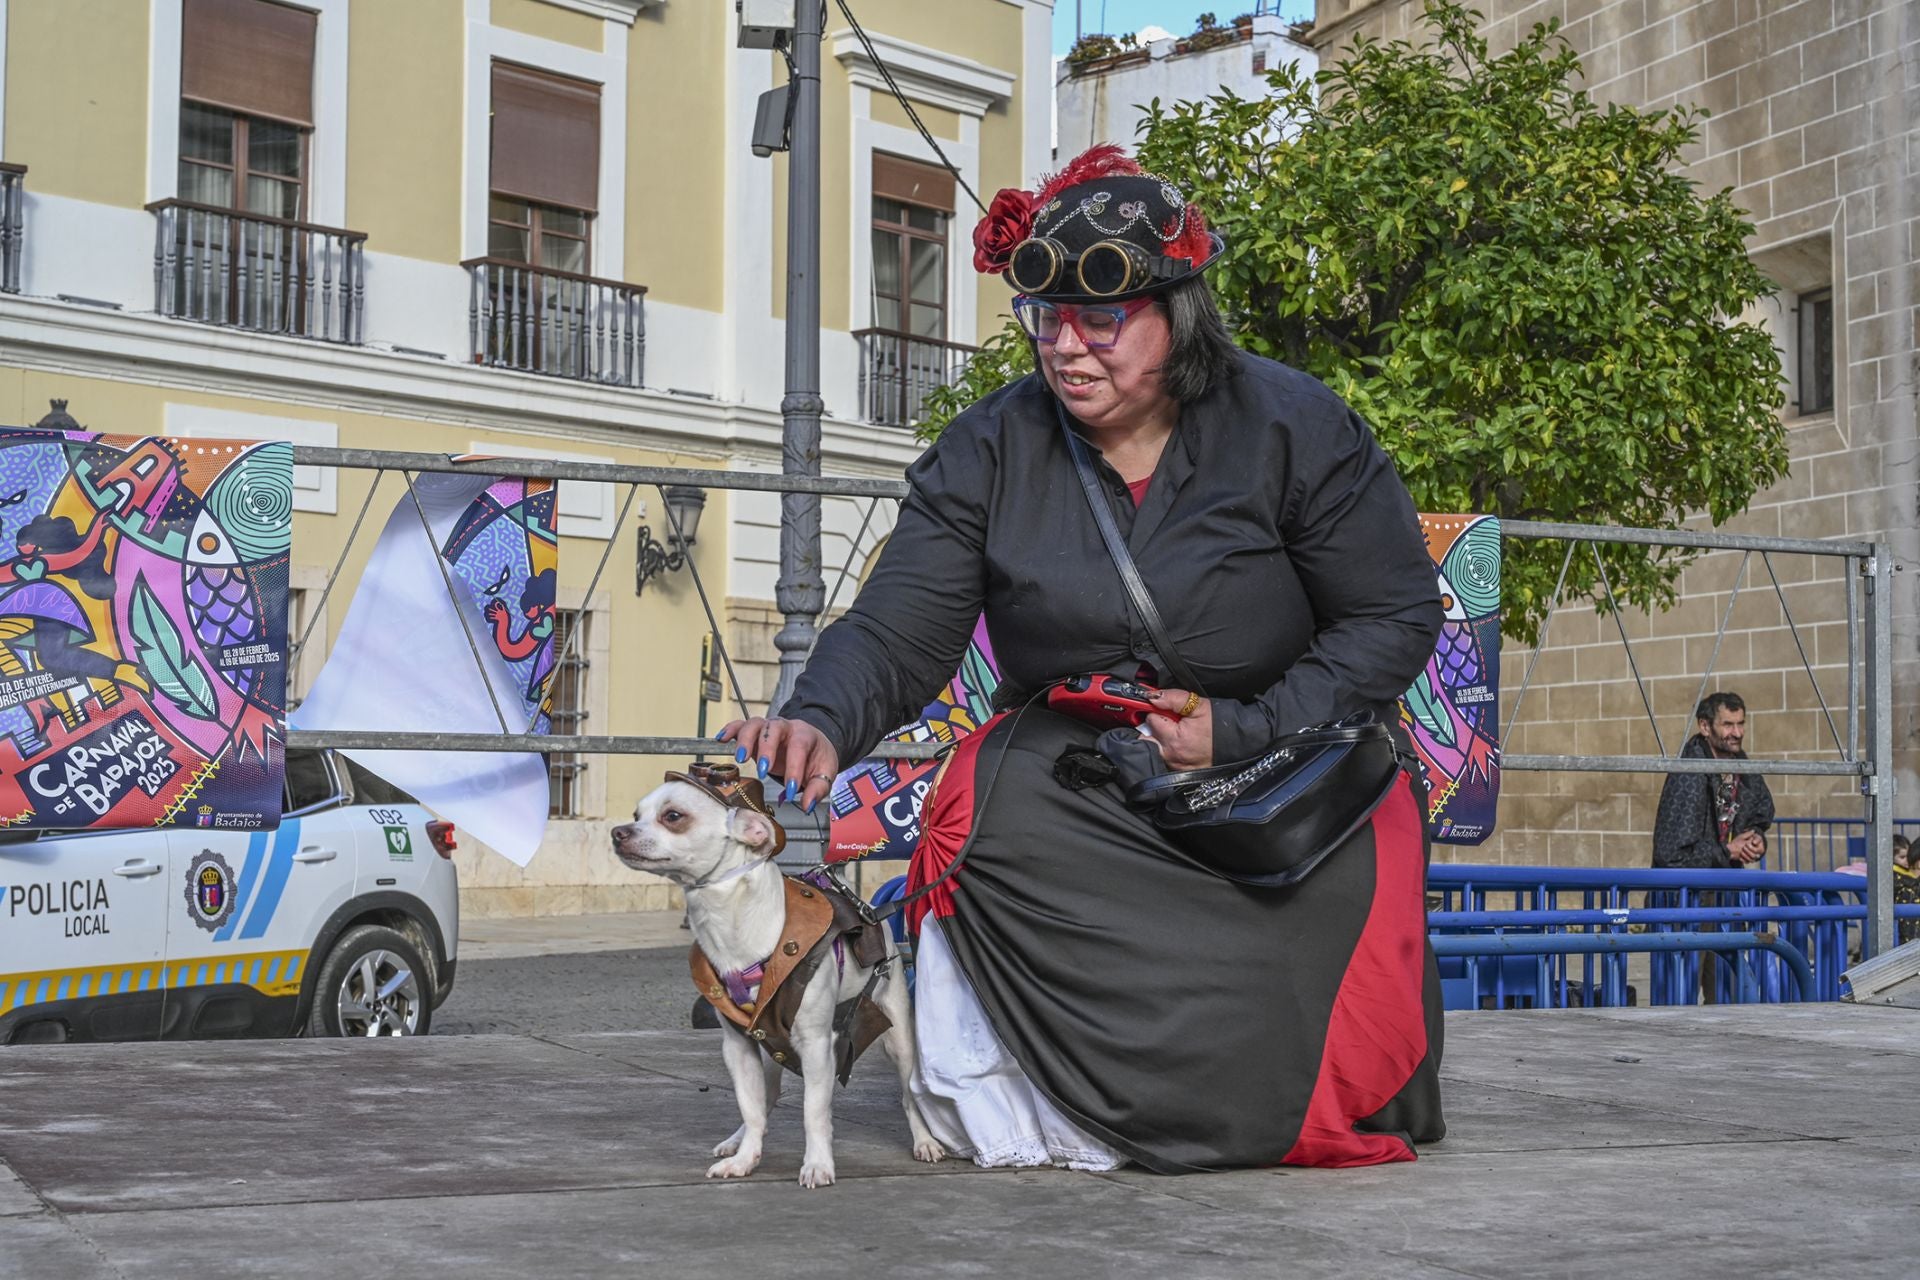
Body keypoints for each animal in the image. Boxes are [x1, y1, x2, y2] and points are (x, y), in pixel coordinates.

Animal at [614, 759, 944, 1189]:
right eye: (637, 815)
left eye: (673, 817)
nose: (618, 832)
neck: (732, 928)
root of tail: (868, 908)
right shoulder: (738, 1046)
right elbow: (751, 1108)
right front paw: (745, 1159)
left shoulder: (817, 1046)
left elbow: (813, 1112)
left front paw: (818, 1164)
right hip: (769, 1049)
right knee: (765, 1100)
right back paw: (737, 1141)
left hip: (899, 1039)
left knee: (909, 1095)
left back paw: (925, 1141)